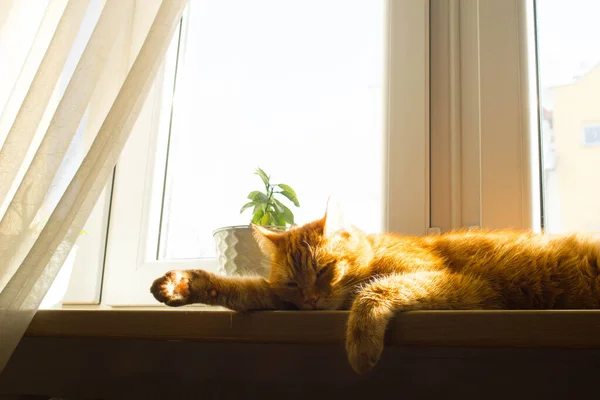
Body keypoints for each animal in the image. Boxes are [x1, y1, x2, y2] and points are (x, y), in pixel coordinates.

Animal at [149, 202, 600, 374]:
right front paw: (183, 284)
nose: (311, 301)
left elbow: (374, 292)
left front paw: (361, 341)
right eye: (294, 283)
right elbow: (244, 289)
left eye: (324, 270)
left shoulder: (461, 286)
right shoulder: (279, 299)